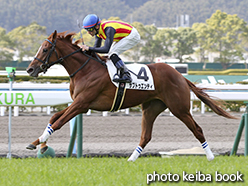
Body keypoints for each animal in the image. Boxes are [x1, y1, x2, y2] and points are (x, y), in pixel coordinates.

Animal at [25, 30, 236, 161]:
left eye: (45, 49)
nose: (30, 69)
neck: (85, 70)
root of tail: (180, 76)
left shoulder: (82, 103)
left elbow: (59, 122)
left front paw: (38, 143)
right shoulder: (77, 103)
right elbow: (54, 117)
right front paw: (39, 143)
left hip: (179, 108)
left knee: (197, 129)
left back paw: (210, 156)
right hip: (151, 108)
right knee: (146, 136)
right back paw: (131, 159)